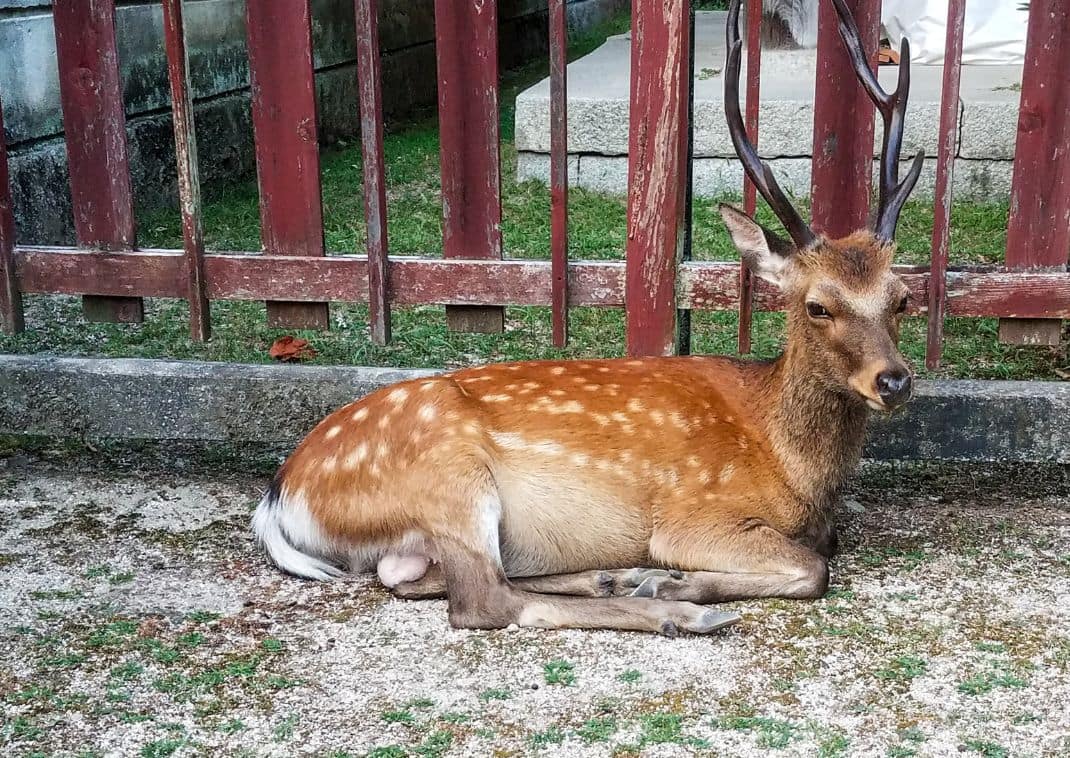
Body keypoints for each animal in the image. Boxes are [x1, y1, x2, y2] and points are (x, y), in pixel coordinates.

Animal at [248, 0, 920, 638]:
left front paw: (662, 579)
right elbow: (814, 567)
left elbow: (823, 549)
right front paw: (677, 582)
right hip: (448, 476)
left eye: (902, 298)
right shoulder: (693, 513)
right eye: (817, 305)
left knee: (415, 576)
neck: (790, 465)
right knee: (482, 600)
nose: (895, 380)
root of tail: (280, 496)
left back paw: (615, 575)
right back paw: (672, 607)